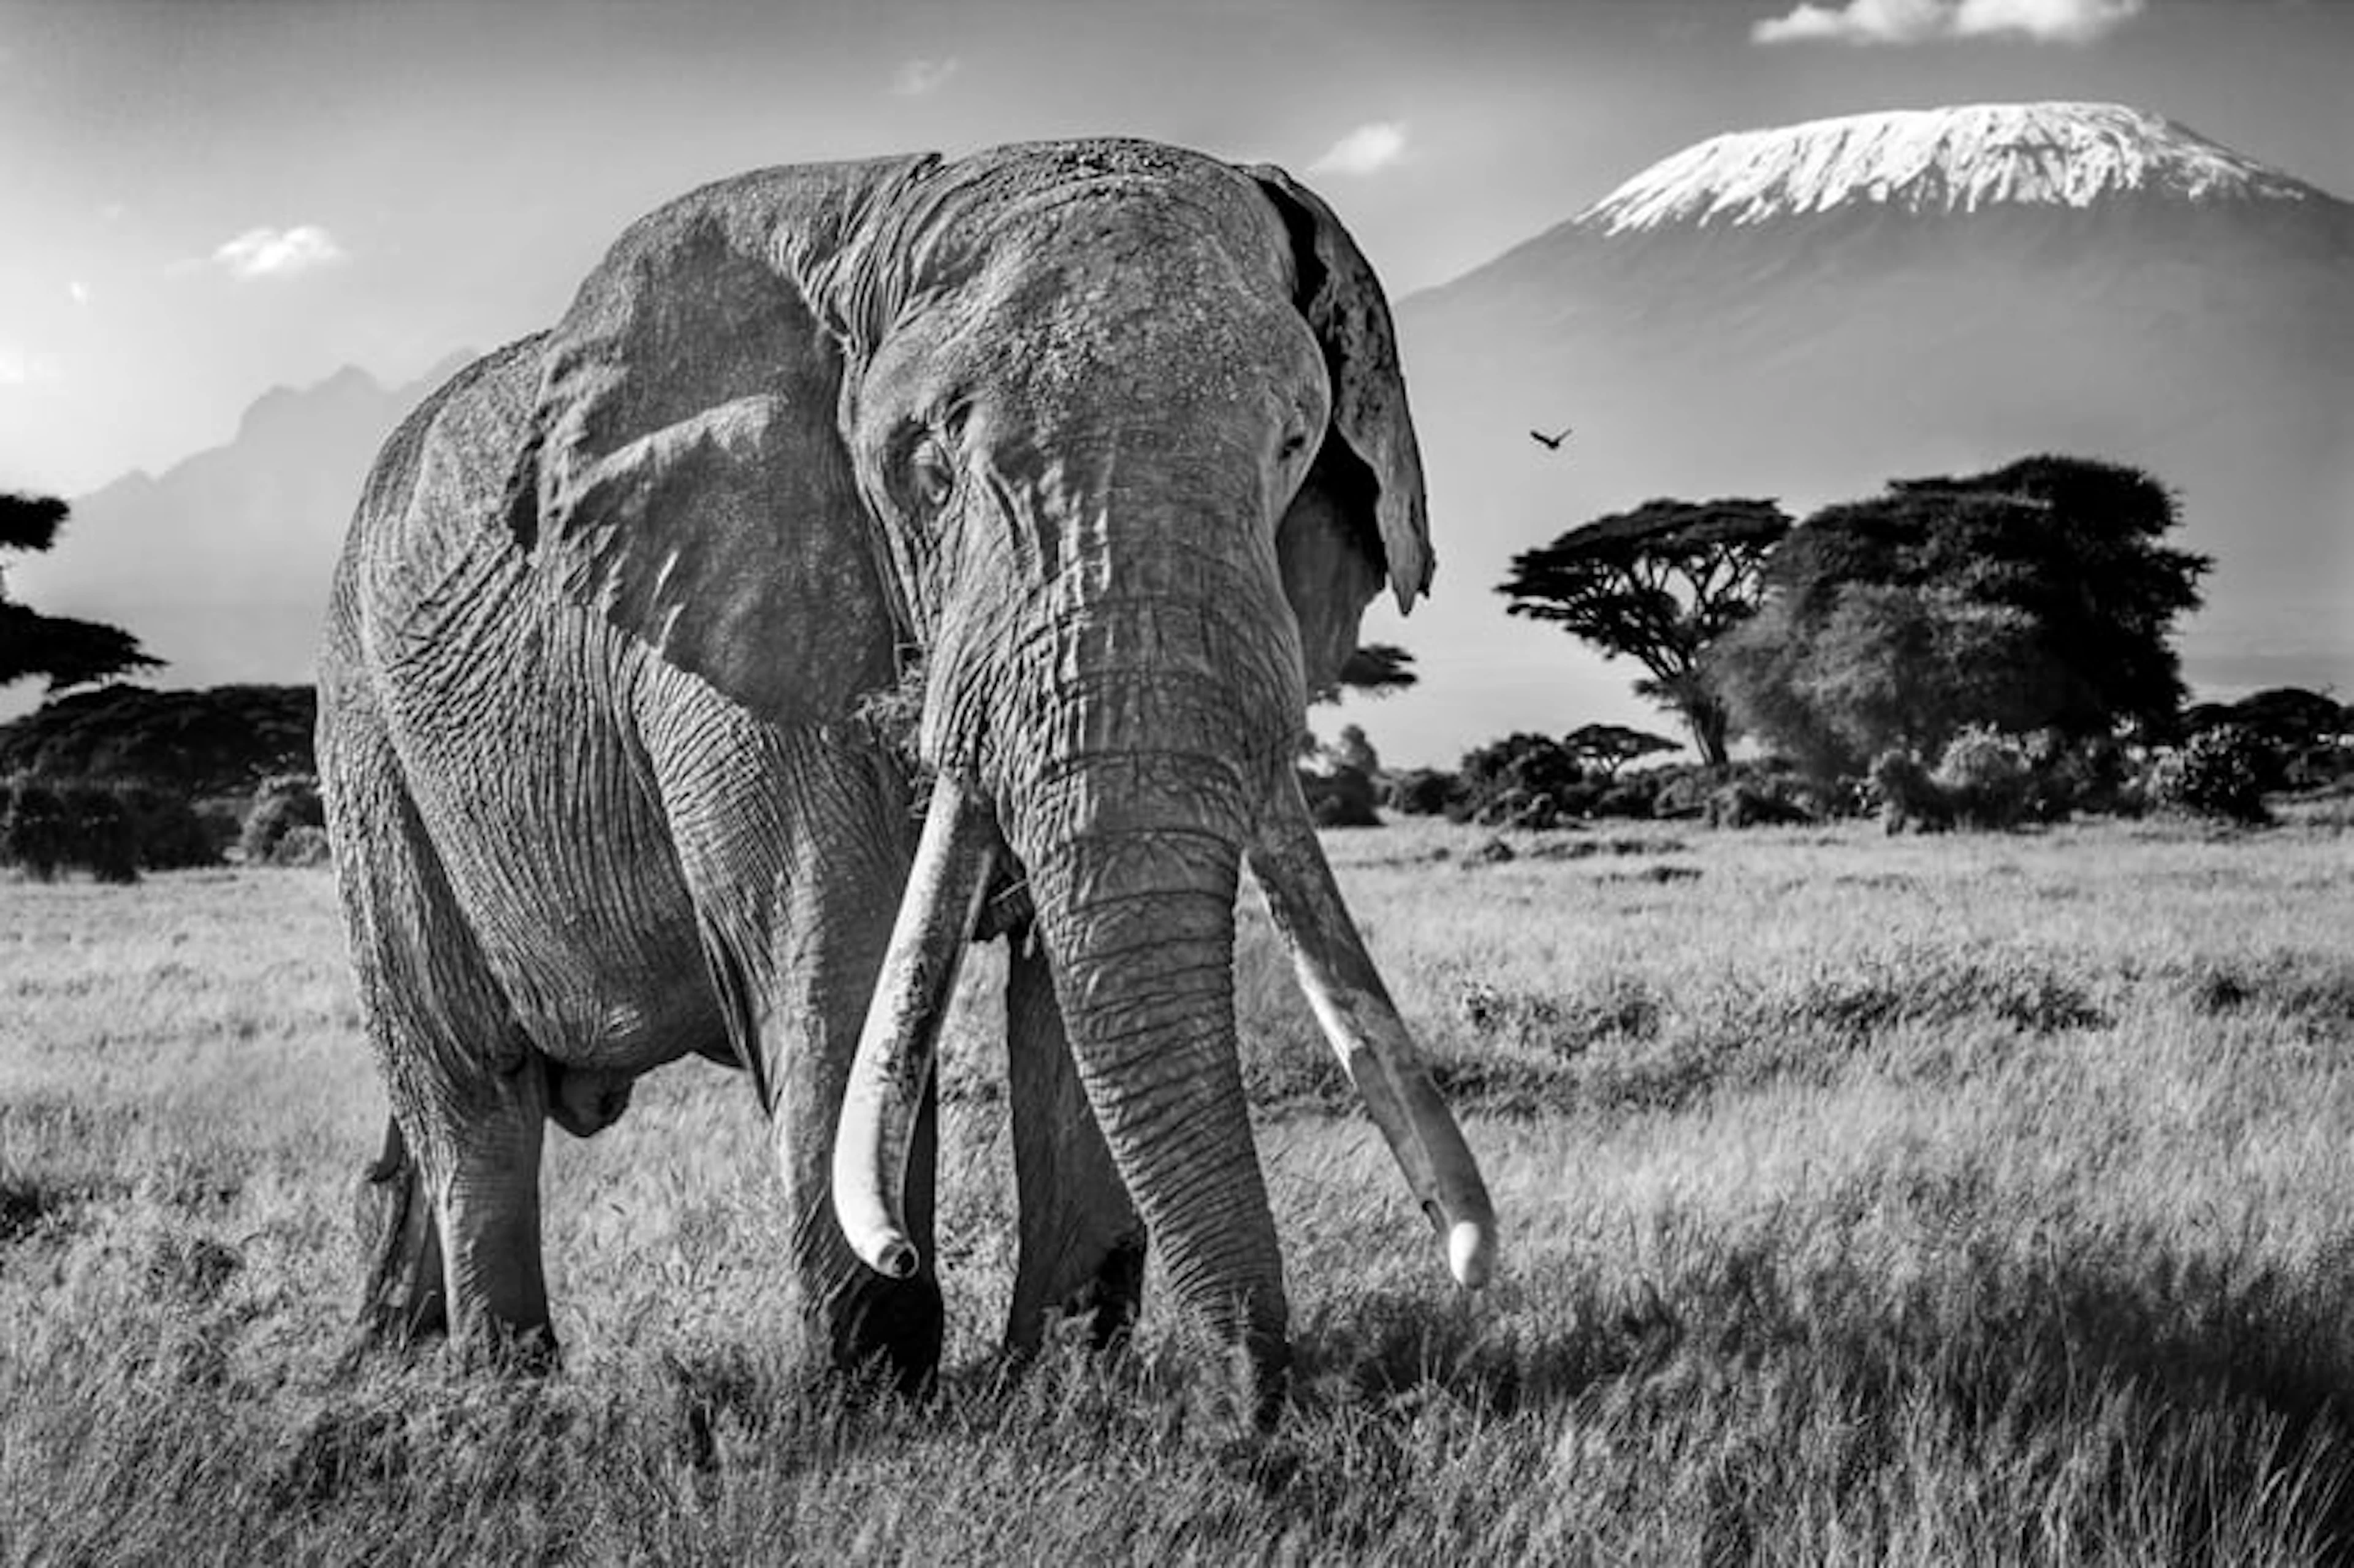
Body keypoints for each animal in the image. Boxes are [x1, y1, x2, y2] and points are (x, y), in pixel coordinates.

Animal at [319, 136, 1495, 1411]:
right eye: (929, 464)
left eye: (1291, 446)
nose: (1247, 1412)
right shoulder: (742, 635)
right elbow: (837, 955)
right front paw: (872, 1401)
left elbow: (1065, 990)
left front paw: (1061, 1393)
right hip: (367, 736)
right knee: (472, 1087)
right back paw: (502, 1386)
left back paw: (395, 1343)